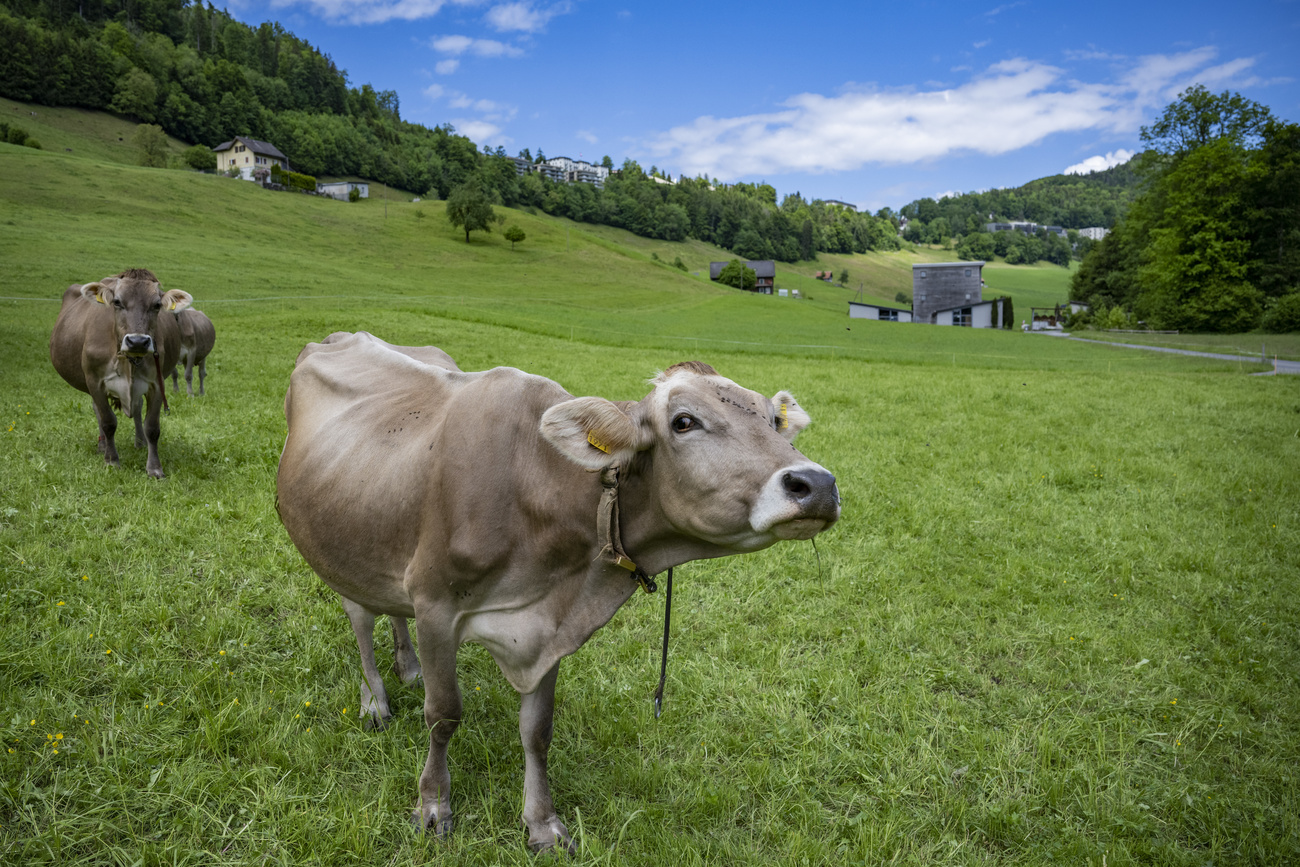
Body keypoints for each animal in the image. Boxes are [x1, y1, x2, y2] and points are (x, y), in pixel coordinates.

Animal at [49, 269, 192, 479]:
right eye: (117, 302)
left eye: (157, 305)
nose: (138, 341)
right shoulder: (95, 381)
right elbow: (108, 421)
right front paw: (111, 460)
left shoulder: (156, 383)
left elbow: (152, 427)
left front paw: (154, 468)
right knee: (98, 411)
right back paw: (103, 446)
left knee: (137, 408)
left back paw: (140, 443)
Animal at [274, 331, 840, 853]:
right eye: (683, 421)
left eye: (772, 420)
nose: (817, 484)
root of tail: (341, 336)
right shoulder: (435, 602)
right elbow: (444, 714)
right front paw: (433, 807)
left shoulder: (548, 628)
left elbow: (538, 731)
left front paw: (542, 824)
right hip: (338, 544)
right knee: (359, 616)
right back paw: (375, 698)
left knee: (390, 608)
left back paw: (408, 666)